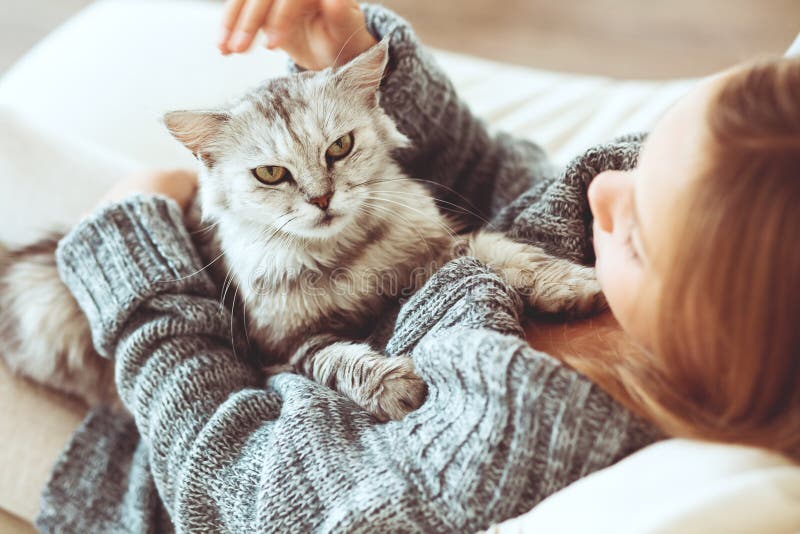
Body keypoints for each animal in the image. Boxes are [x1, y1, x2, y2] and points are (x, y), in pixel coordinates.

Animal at [0, 39, 600, 420]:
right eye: (271, 174)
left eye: (340, 147)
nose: (321, 198)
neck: (348, 259)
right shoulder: (282, 350)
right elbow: (341, 362)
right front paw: (395, 386)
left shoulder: (447, 246)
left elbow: (513, 256)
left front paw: (575, 285)